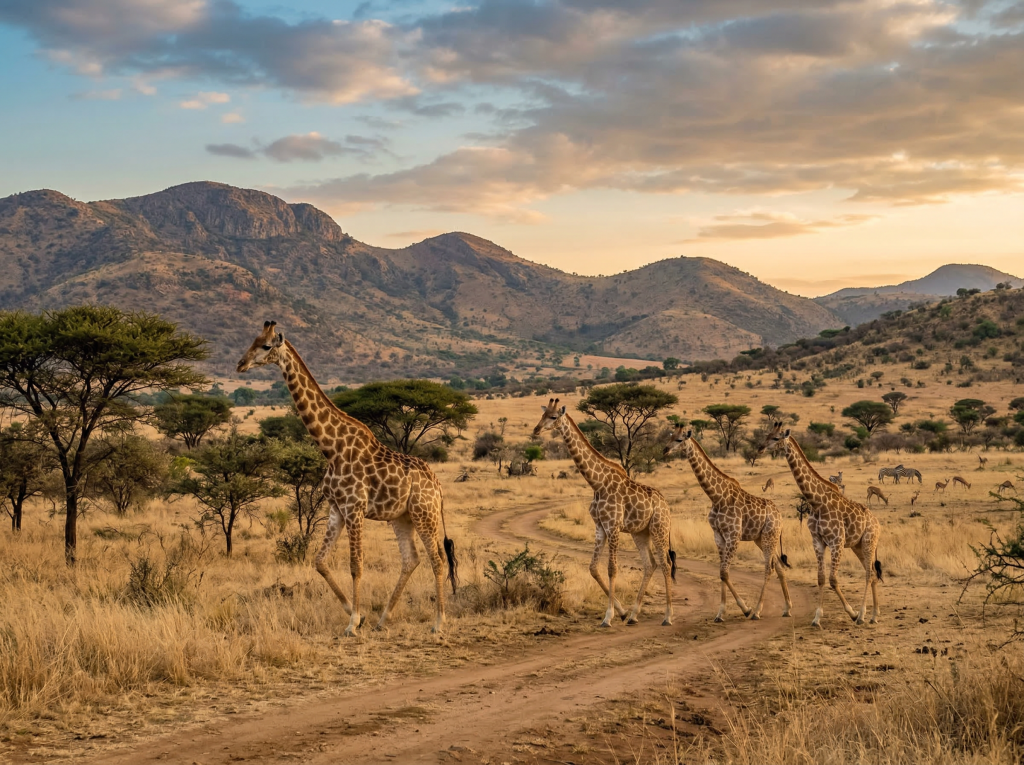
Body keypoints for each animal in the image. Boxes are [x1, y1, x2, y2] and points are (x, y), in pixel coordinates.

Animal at [237, 322, 457, 635]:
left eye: (266, 346)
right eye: (252, 340)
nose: (240, 364)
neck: (331, 447)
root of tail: (438, 488)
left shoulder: (354, 508)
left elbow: (356, 565)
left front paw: (353, 622)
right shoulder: (336, 509)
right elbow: (319, 561)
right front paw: (355, 614)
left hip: (423, 514)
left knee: (437, 561)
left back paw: (439, 621)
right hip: (401, 517)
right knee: (411, 559)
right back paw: (382, 619)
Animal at [533, 398, 675, 627]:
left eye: (553, 417)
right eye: (542, 414)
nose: (536, 429)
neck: (597, 483)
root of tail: (666, 505)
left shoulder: (613, 526)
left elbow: (611, 568)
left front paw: (608, 617)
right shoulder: (599, 526)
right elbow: (593, 568)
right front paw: (622, 612)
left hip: (659, 528)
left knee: (666, 563)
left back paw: (668, 616)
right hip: (640, 532)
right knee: (650, 564)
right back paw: (633, 615)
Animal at [664, 425, 791, 621]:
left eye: (679, 440)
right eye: (670, 437)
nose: (665, 450)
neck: (717, 496)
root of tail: (780, 516)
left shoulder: (733, 535)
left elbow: (724, 572)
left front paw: (746, 609)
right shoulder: (719, 536)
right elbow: (721, 573)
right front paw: (720, 614)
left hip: (769, 536)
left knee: (769, 568)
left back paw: (757, 611)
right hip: (761, 538)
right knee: (778, 565)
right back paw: (787, 608)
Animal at [758, 423, 883, 627]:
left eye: (776, 438)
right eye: (766, 435)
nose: (760, 448)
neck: (817, 502)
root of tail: (877, 523)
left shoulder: (836, 541)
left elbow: (833, 579)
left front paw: (852, 613)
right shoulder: (817, 541)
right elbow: (821, 578)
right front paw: (817, 618)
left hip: (868, 542)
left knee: (869, 574)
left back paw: (862, 615)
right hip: (857, 546)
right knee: (871, 571)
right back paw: (873, 615)